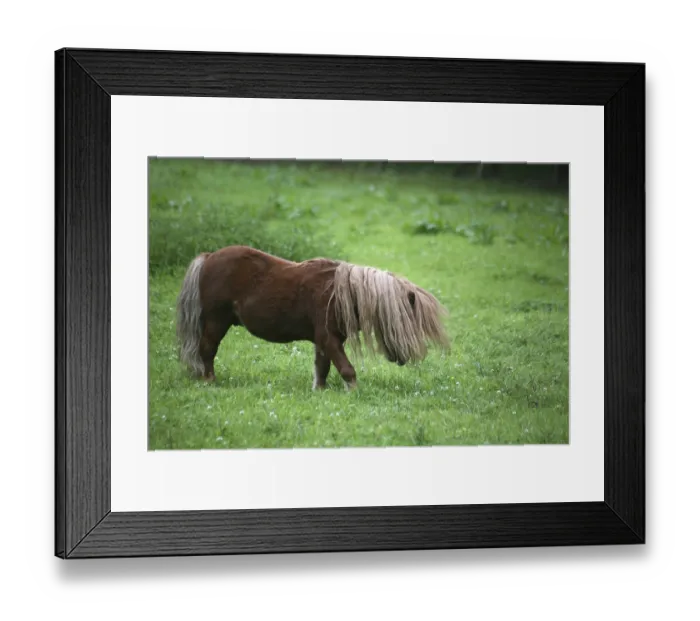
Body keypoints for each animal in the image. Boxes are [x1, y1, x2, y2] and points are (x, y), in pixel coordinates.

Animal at [175, 245, 449, 390]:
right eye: (406, 322)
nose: (401, 359)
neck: (339, 295)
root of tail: (209, 257)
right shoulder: (329, 339)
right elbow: (346, 369)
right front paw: (354, 391)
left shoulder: (324, 341)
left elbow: (322, 368)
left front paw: (321, 391)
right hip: (216, 322)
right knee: (207, 350)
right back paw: (209, 380)